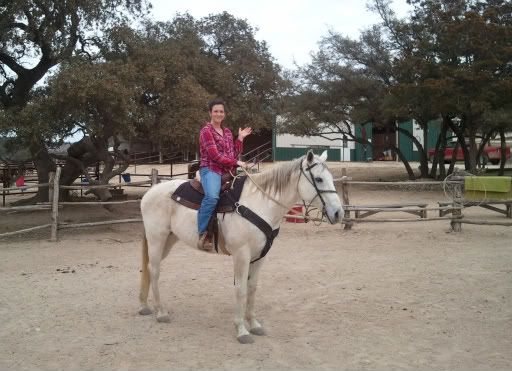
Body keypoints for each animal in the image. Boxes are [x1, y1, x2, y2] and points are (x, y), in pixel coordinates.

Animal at [138, 150, 342, 344]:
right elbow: (241, 289)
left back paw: (145, 306)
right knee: (154, 270)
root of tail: (150, 192)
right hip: (157, 239)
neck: (260, 204)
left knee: (148, 269)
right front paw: (242, 330)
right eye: (319, 179)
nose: (338, 213)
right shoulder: (241, 255)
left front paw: (254, 324)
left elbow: (252, 288)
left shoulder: (260, 256)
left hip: (169, 240)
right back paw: (161, 312)